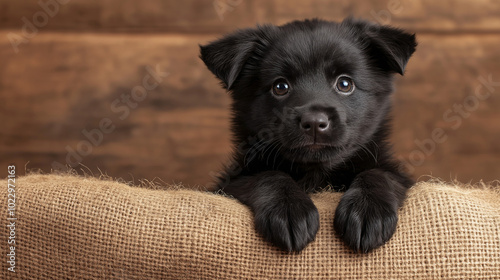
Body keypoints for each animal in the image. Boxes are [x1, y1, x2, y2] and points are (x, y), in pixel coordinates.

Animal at [201, 18, 416, 254]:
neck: (315, 173)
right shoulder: (231, 182)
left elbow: (378, 174)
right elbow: (268, 175)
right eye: (280, 86)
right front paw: (289, 209)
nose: (314, 123)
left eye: (345, 84)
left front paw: (368, 209)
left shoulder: (397, 174)